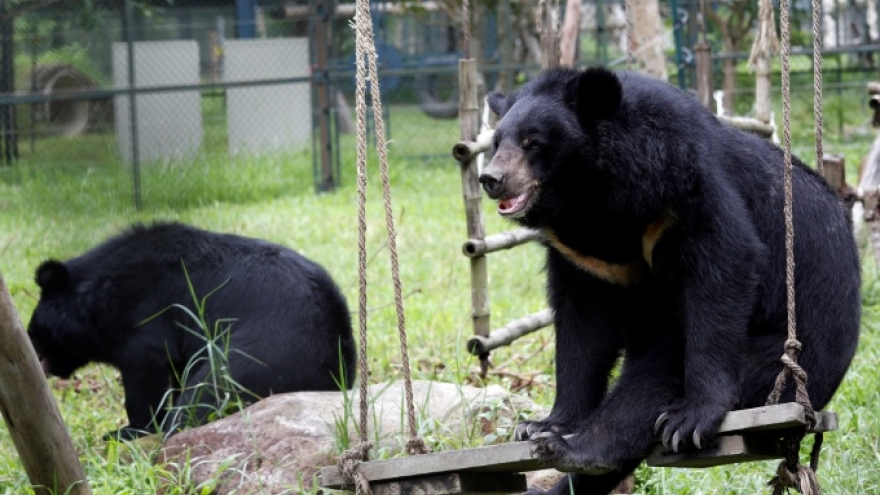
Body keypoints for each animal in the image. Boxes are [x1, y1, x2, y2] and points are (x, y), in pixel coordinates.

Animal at [28, 222, 356, 441]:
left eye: (35, 333)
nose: (36, 357)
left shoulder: (145, 313)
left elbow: (145, 373)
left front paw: (127, 431)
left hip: (258, 358)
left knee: (205, 393)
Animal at [480, 67, 861, 495]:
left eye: (533, 142)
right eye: (497, 143)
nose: (491, 179)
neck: (591, 198)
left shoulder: (682, 186)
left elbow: (723, 266)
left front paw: (695, 416)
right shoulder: (581, 255)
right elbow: (583, 327)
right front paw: (542, 424)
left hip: (781, 356)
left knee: (655, 384)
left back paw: (588, 448)